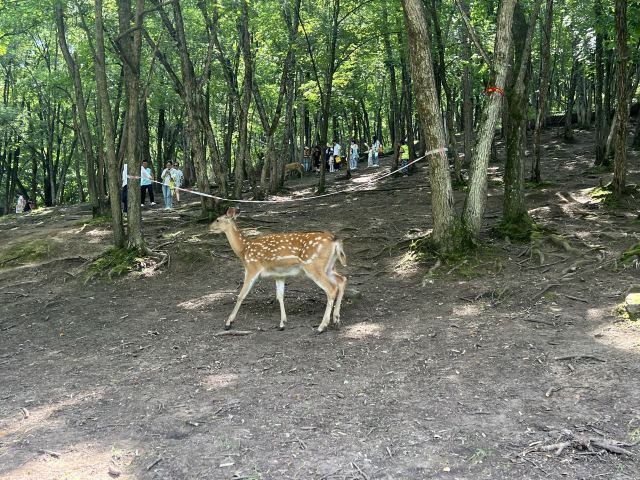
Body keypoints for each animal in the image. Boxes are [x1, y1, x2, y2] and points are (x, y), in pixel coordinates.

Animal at [208, 207, 347, 333]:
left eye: (217, 219)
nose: (208, 227)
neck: (244, 250)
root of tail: (335, 241)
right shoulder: (279, 275)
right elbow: (279, 296)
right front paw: (282, 323)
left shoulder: (252, 268)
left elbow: (241, 295)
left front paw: (228, 322)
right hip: (329, 266)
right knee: (342, 279)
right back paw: (336, 320)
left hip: (313, 266)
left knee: (331, 288)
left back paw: (322, 326)